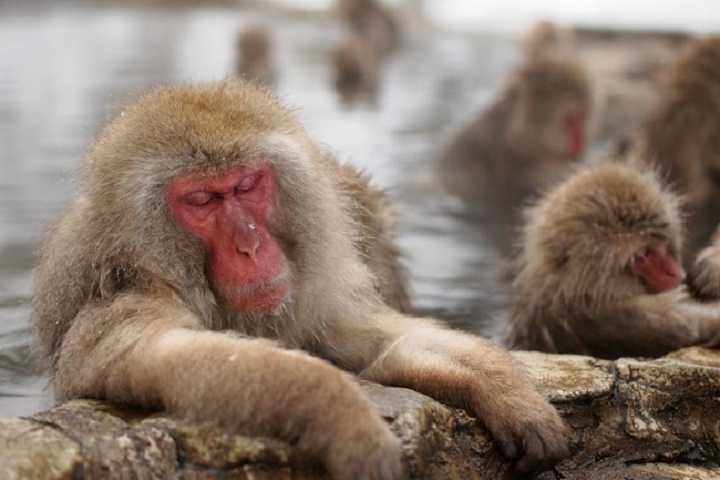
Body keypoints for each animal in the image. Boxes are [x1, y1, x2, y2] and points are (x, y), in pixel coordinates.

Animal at [33, 80, 572, 478]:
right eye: (202, 200)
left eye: (247, 186)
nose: (250, 245)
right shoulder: (128, 293)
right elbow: (150, 355)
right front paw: (341, 411)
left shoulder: (312, 300)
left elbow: (383, 345)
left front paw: (503, 389)